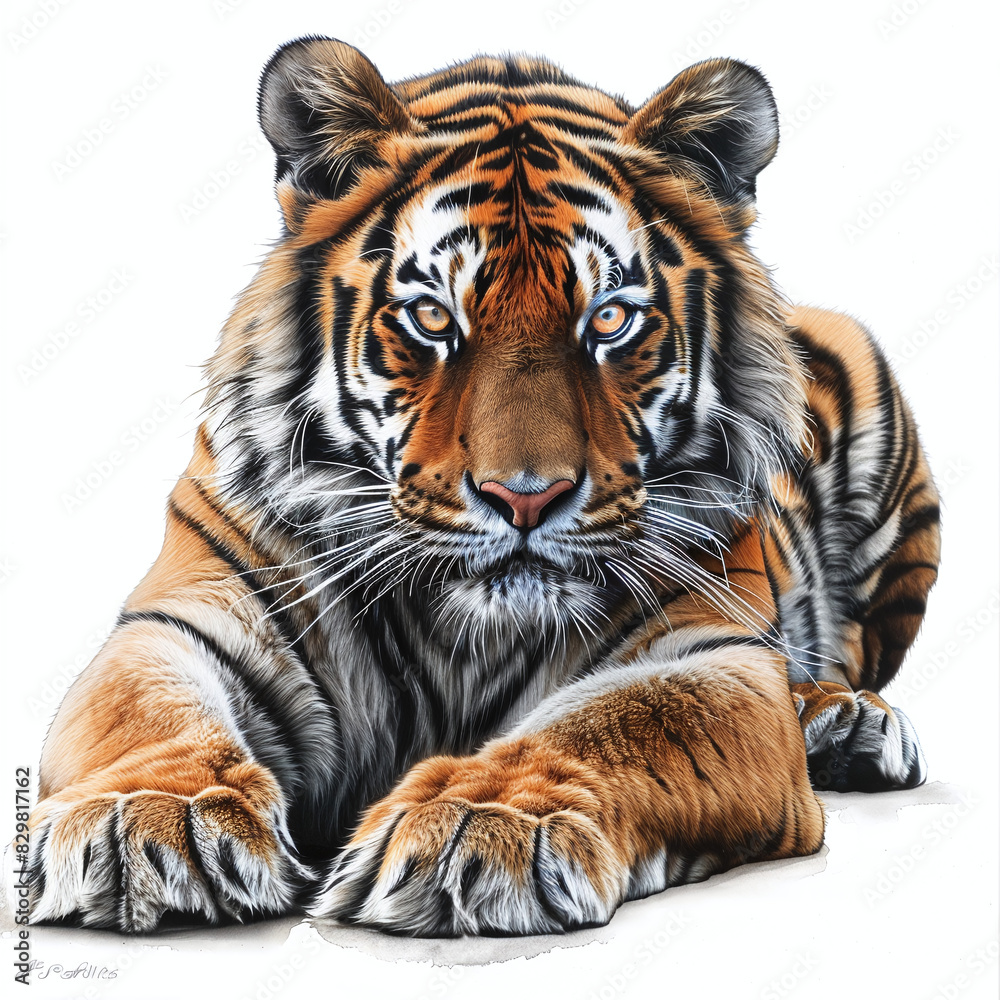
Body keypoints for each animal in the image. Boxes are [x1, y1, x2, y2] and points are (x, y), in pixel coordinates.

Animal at [28, 37, 940, 936]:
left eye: (610, 319)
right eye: (434, 318)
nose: (526, 497)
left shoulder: (713, 656)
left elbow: (614, 723)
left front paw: (483, 824)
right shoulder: (184, 619)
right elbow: (144, 710)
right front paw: (149, 816)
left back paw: (846, 722)